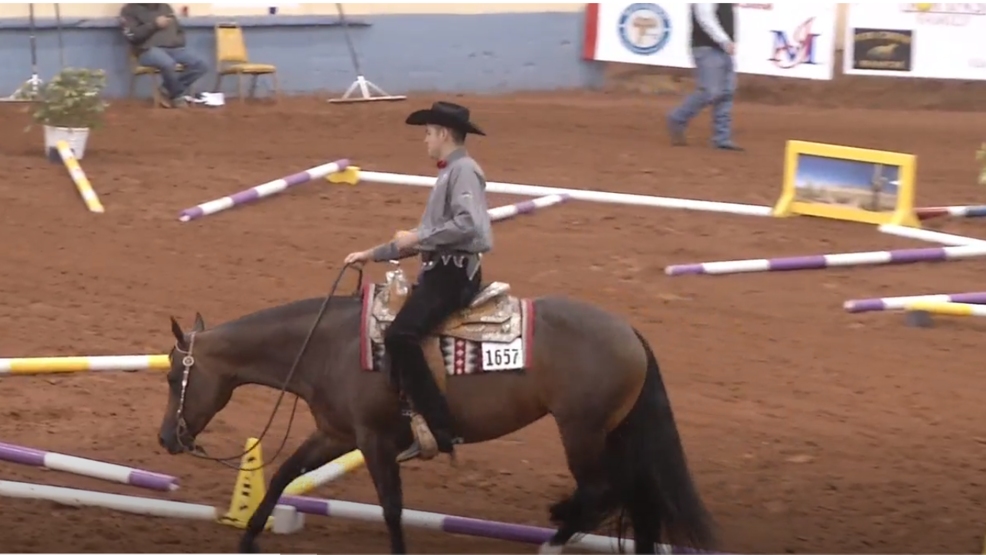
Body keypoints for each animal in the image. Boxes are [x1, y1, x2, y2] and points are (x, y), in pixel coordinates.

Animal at [157, 264, 717, 554]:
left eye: (171, 377)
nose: (166, 439)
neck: (327, 345)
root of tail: (629, 334)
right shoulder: (336, 434)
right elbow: (280, 476)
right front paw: (249, 539)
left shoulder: (375, 441)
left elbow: (392, 508)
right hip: (616, 434)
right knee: (638, 501)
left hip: (582, 431)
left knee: (602, 493)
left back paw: (552, 538)